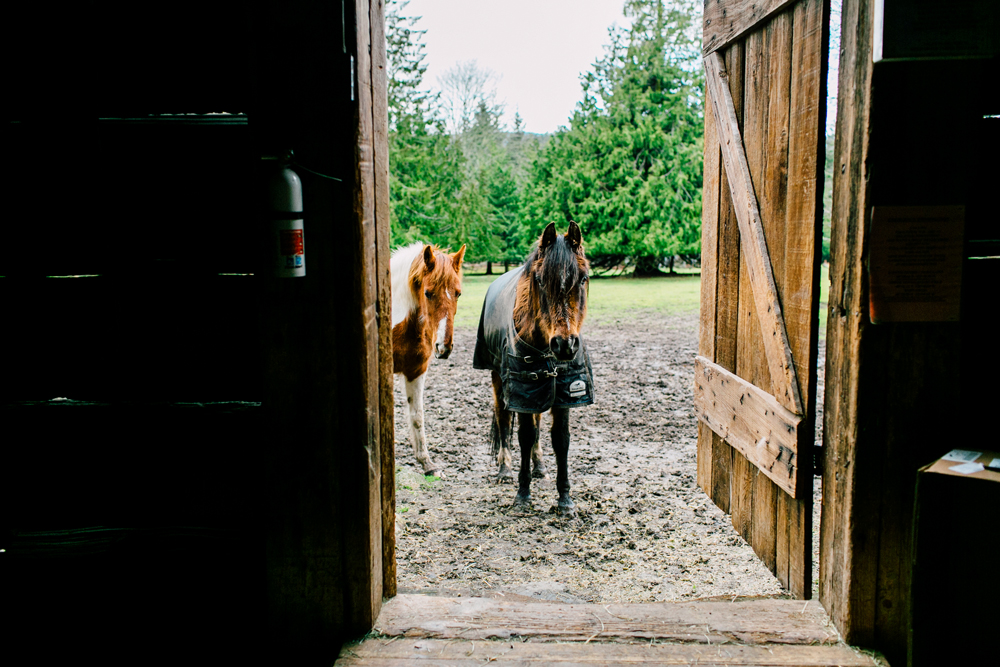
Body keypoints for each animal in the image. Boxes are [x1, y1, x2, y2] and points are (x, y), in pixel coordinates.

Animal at [392, 243, 466, 478]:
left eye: (458, 293)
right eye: (428, 293)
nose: (444, 347)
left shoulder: (416, 371)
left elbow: (417, 416)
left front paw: (427, 463)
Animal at [470, 222, 588, 516]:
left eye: (583, 279)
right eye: (540, 280)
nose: (565, 344)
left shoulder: (562, 391)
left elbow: (560, 439)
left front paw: (565, 499)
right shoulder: (522, 391)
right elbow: (523, 434)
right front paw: (522, 495)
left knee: (537, 422)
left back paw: (540, 466)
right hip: (498, 379)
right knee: (503, 419)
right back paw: (504, 470)